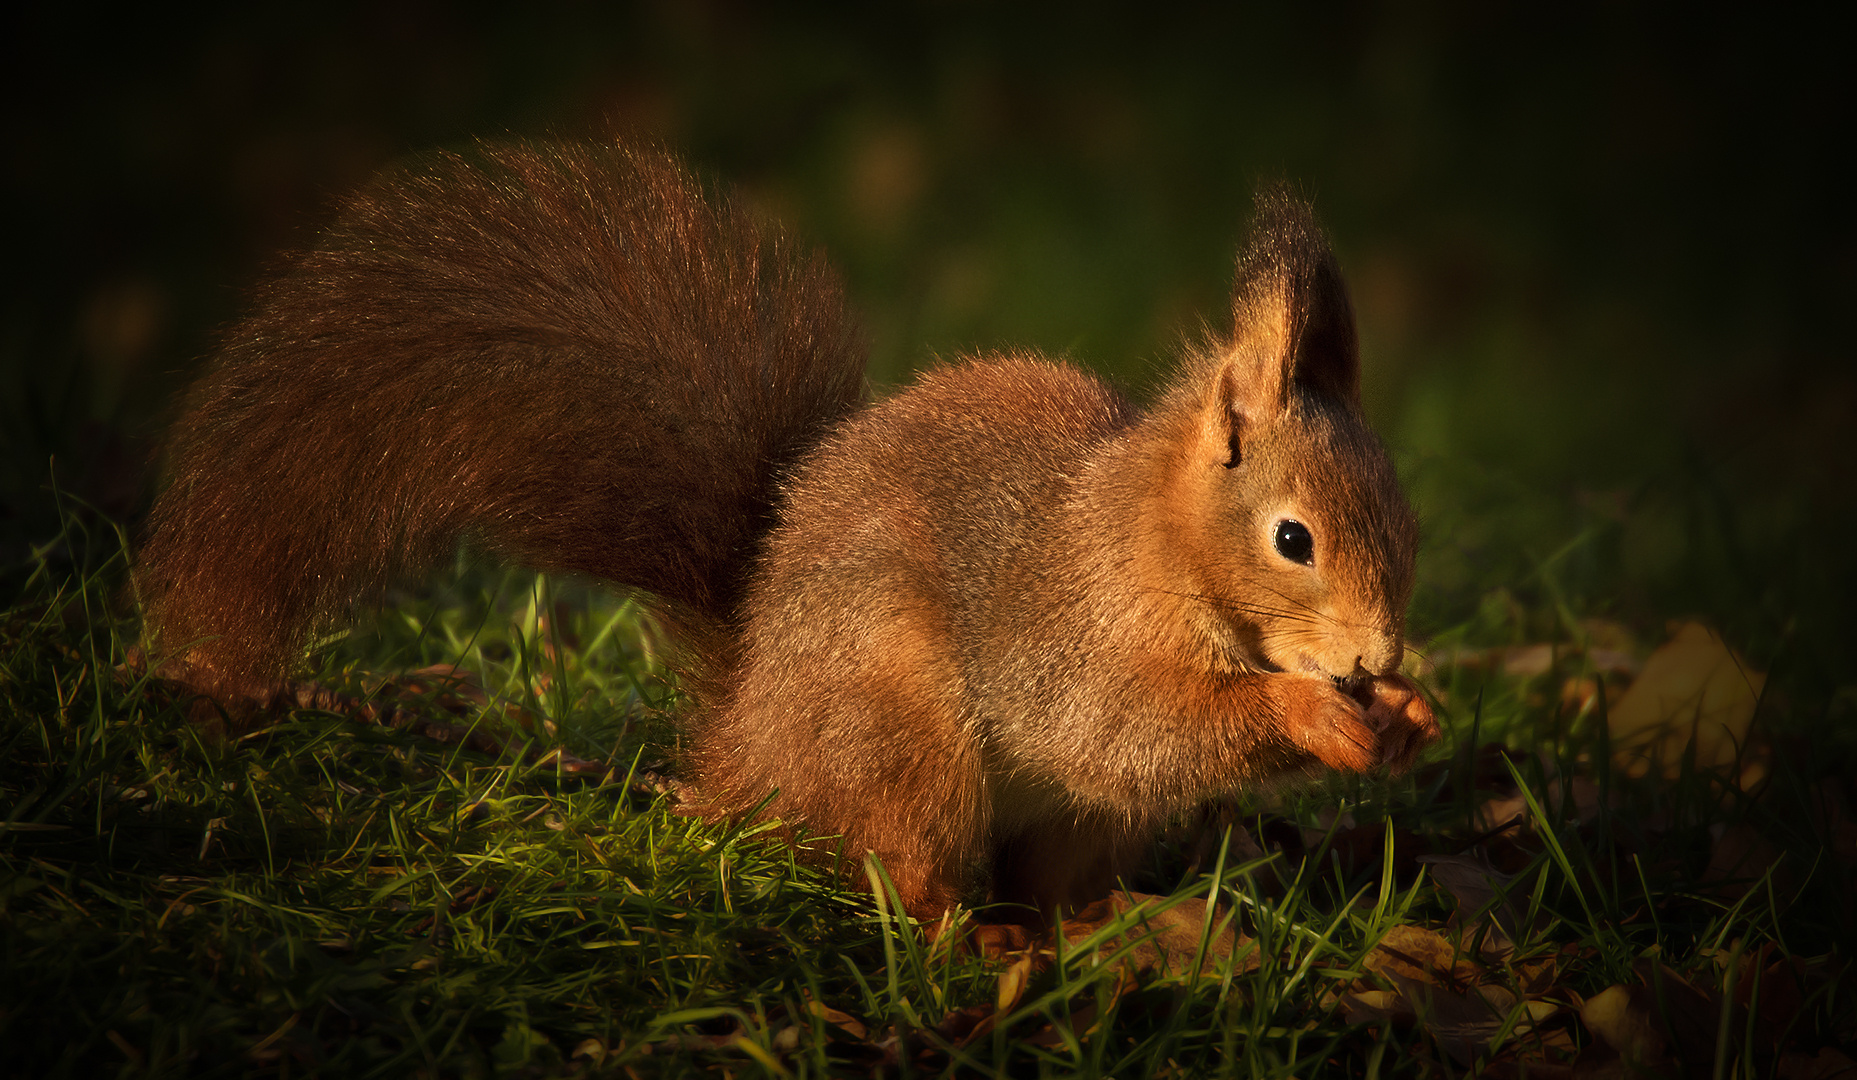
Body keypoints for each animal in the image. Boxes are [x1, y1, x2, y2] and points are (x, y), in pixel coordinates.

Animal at [141, 141, 1433, 924]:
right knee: (896, 864)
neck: (1158, 543)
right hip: (897, 724)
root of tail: (745, 741)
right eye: (1295, 541)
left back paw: (1090, 929)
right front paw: (1314, 715)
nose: (1376, 655)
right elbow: (1124, 726)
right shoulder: (1071, 632)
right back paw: (971, 940)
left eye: (1410, 516)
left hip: (1066, 822)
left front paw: (1410, 713)